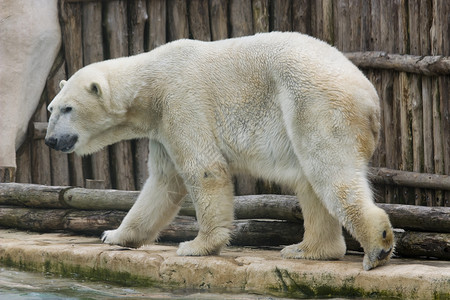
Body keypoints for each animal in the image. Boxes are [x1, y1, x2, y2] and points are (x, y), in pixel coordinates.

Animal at [45, 32, 394, 270]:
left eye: (67, 108)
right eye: (51, 108)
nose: (50, 140)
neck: (150, 81)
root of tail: (370, 96)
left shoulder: (181, 100)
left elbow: (205, 170)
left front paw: (196, 245)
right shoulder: (161, 126)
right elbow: (162, 183)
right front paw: (113, 235)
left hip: (314, 101)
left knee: (328, 171)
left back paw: (377, 246)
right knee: (310, 183)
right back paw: (307, 249)